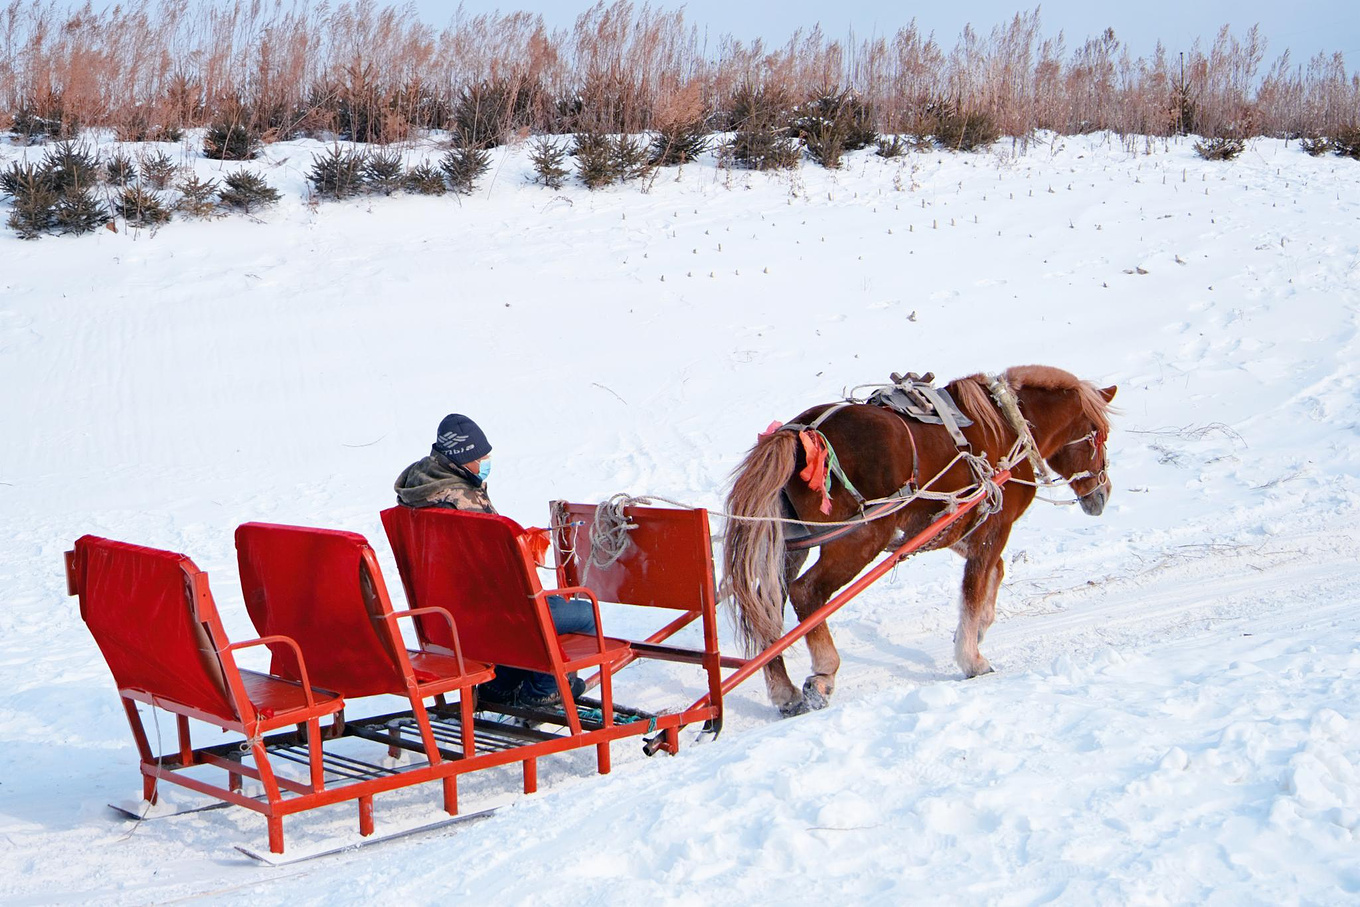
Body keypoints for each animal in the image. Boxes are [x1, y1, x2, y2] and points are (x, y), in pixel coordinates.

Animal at [723, 367, 1115, 717]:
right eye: (1098, 434)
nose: (1103, 493)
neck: (1006, 426)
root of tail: (801, 432)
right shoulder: (992, 529)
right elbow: (974, 588)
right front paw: (972, 659)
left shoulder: (951, 527)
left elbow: (994, 575)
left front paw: (976, 632)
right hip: (858, 538)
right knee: (807, 592)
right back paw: (822, 675)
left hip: (793, 546)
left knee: (767, 606)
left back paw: (784, 692)